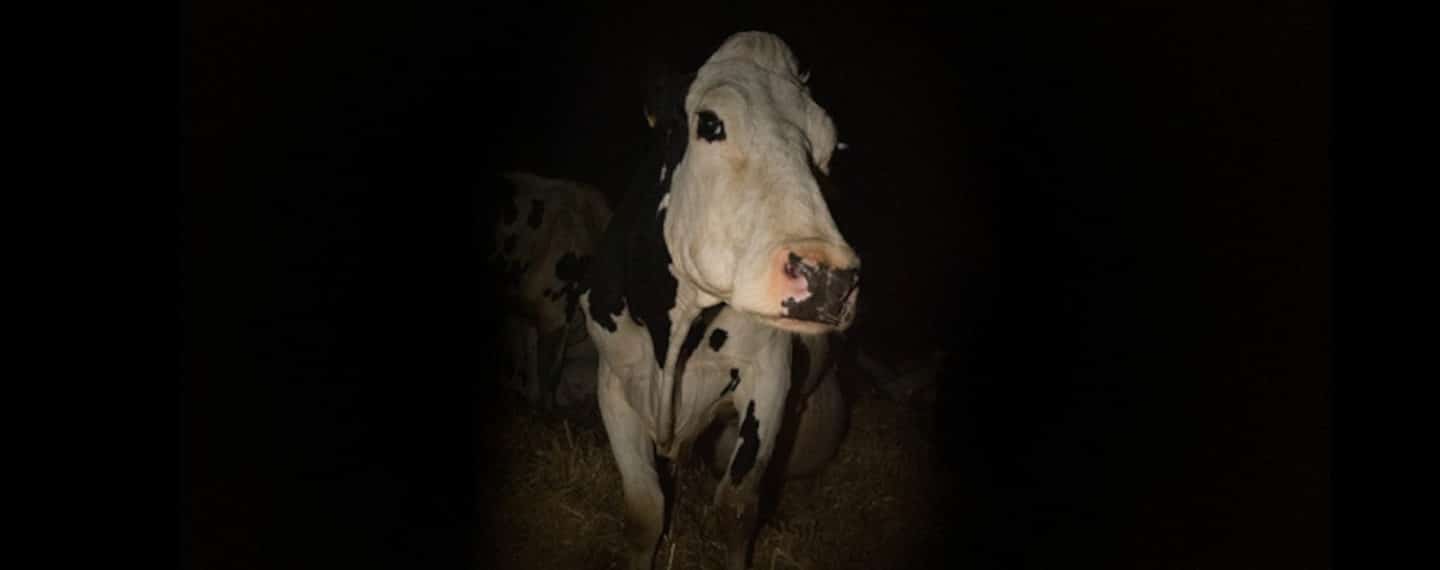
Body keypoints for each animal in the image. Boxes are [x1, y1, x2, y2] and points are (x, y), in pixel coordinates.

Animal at [579, 32, 860, 570]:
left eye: (828, 148)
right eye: (710, 123)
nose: (830, 278)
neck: (673, 335)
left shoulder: (768, 377)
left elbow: (736, 508)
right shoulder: (613, 380)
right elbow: (644, 511)